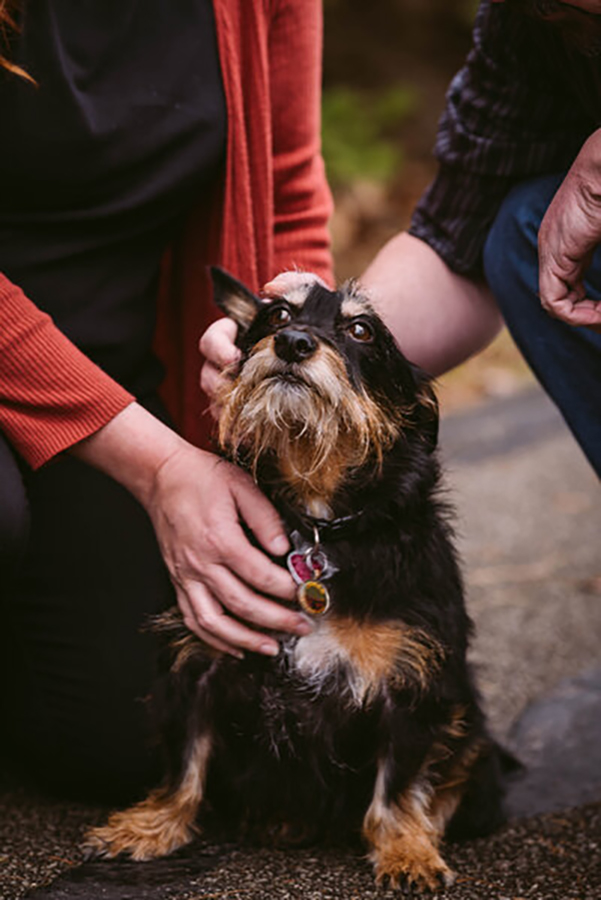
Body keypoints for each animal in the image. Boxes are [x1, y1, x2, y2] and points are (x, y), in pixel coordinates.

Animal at [84, 268, 504, 892]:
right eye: (278, 315)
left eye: (361, 330)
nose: (294, 343)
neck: (316, 523)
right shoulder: (199, 660)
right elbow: (185, 764)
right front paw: (149, 827)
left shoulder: (414, 684)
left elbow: (399, 786)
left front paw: (407, 851)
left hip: (471, 731)